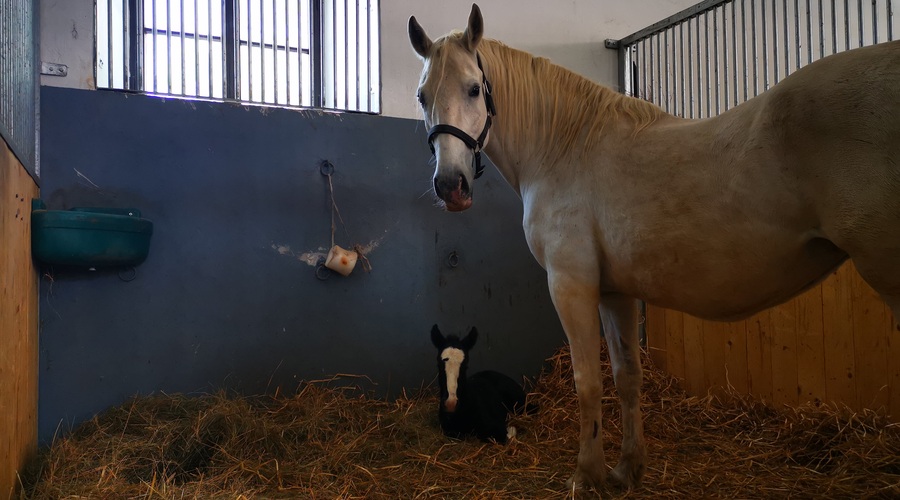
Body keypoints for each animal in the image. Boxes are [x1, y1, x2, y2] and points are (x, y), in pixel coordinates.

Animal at [410, 1, 900, 490]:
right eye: (421, 96)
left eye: (474, 89)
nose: (451, 186)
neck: (565, 149)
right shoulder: (615, 291)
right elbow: (627, 376)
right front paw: (626, 470)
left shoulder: (571, 285)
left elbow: (588, 382)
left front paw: (586, 477)